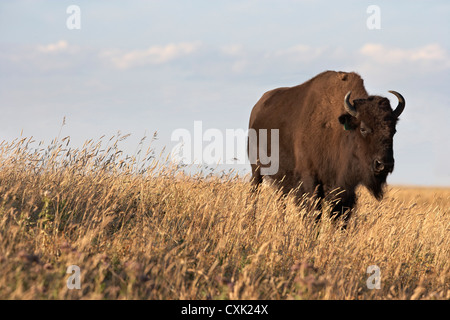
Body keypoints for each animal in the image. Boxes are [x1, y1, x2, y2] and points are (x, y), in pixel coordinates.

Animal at [248, 70, 406, 222]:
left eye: (394, 130)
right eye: (363, 128)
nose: (384, 165)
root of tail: (257, 108)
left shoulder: (346, 188)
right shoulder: (310, 177)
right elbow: (314, 212)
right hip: (256, 169)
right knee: (254, 192)